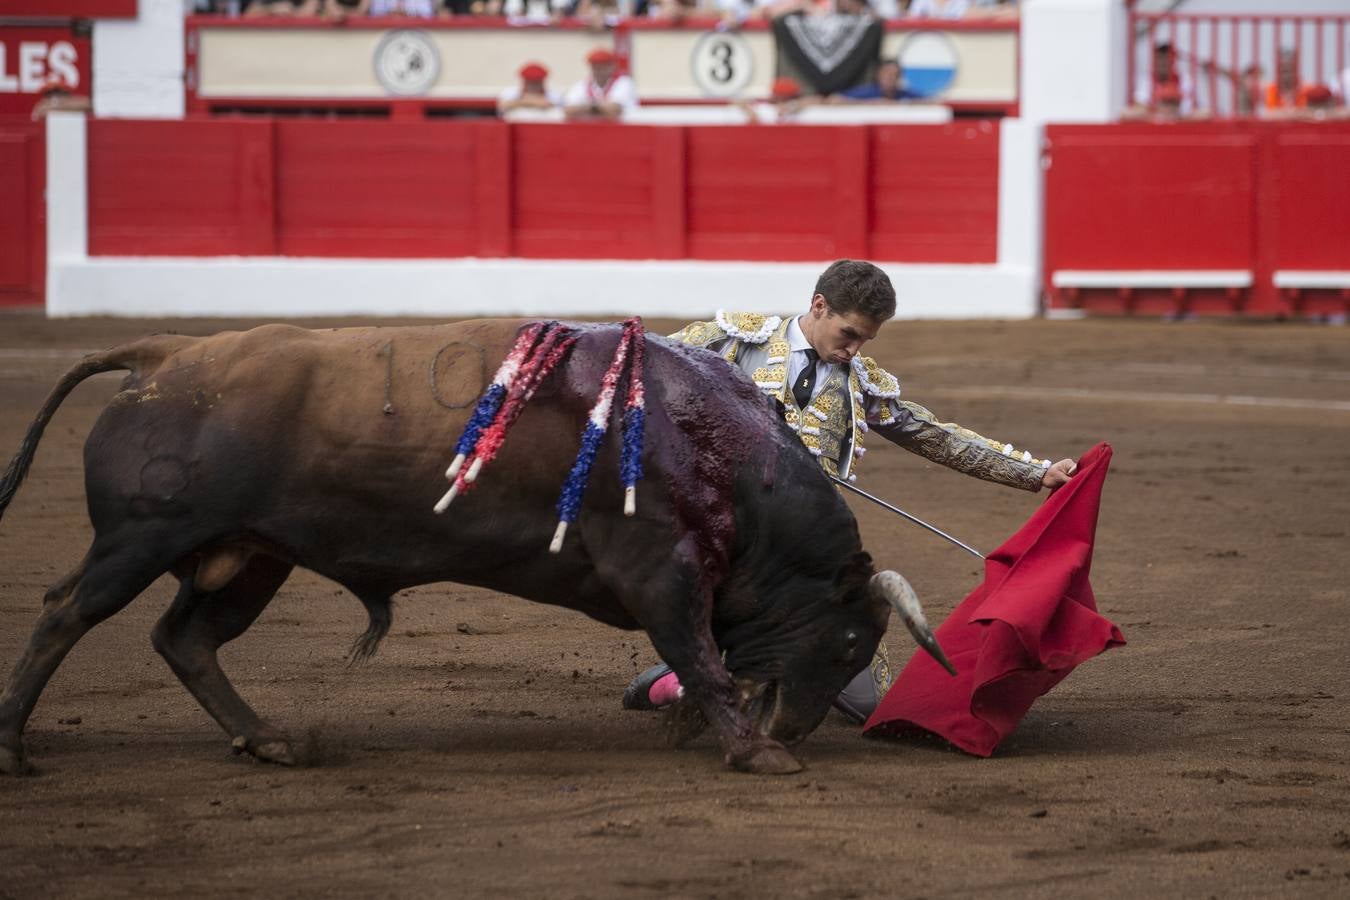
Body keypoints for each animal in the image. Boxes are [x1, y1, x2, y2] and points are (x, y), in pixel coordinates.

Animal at [0, 318, 950, 777]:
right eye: (853, 640)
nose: (799, 727)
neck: (717, 450)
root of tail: (168, 352)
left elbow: (706, 661)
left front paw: (705, 729)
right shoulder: (660, 572)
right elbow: (701, 656)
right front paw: (757, 753)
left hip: (250, 556)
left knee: (186, 638)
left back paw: (268, 740)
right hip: (142, 536)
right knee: (66, 612)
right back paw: (14, 748)